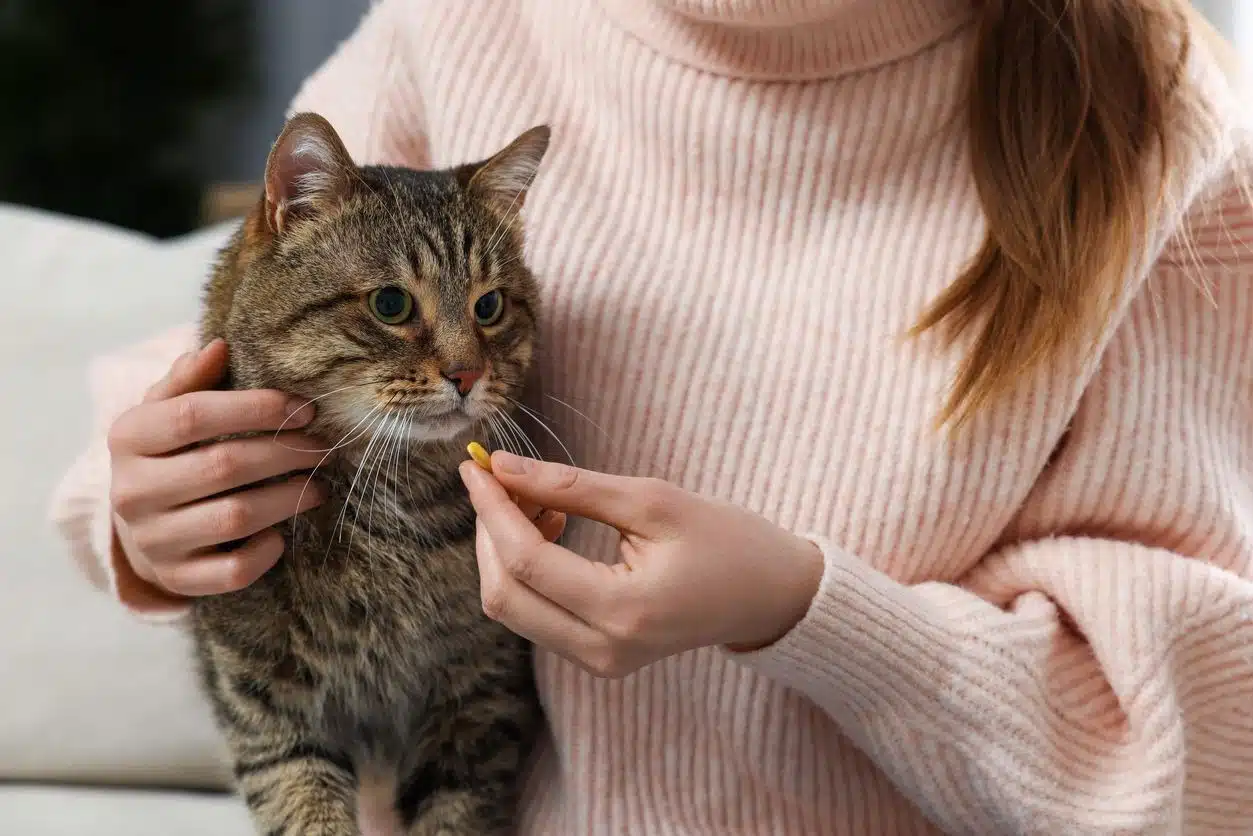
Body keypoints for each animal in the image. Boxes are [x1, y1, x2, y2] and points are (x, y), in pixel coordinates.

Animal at [189, 112, 548, 836]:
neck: (391, 506)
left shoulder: (481, 697)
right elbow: (306, 809)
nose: (468, 374)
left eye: (490, 306)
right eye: (390, 304)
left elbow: (456, 812)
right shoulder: (267, 705)